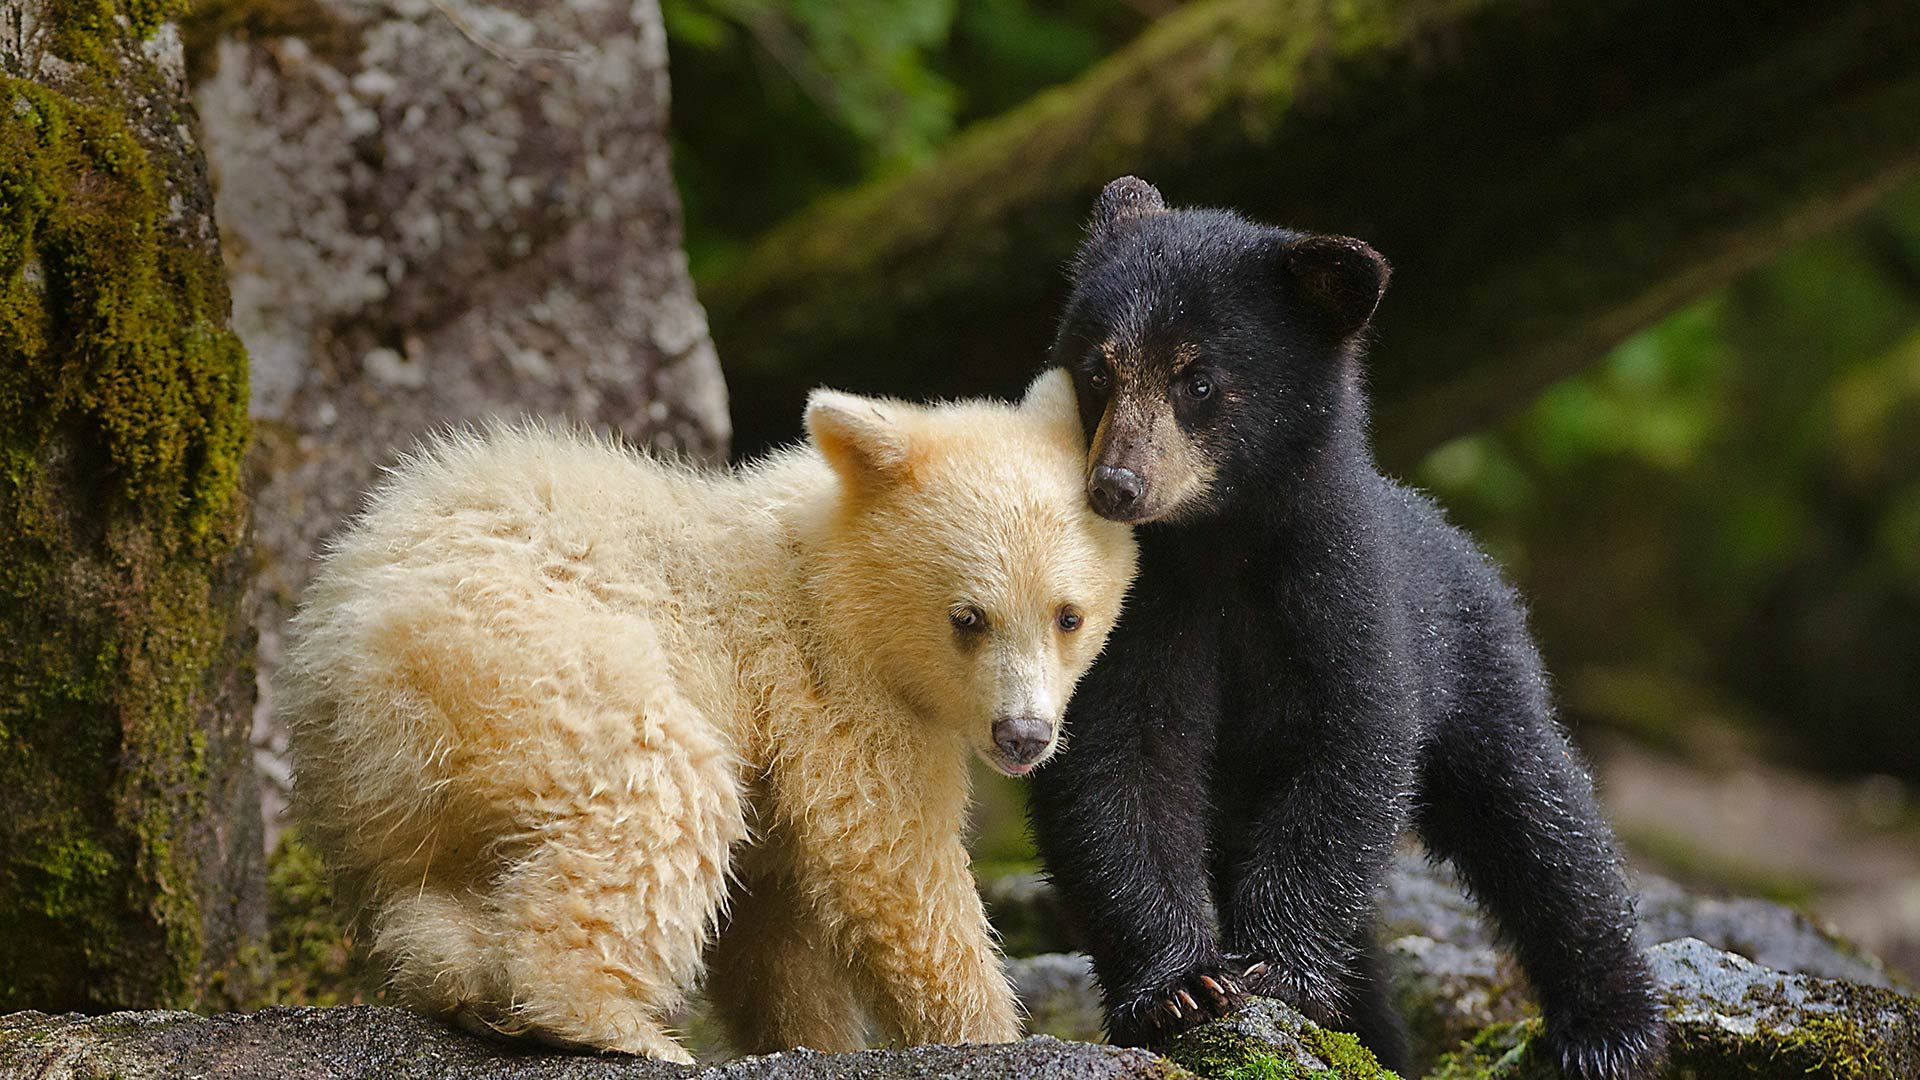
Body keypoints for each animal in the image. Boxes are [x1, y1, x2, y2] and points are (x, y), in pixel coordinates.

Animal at [281, 370, 1137, 1063]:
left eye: (1068, 615)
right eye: (968, 617)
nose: (1023, 736)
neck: (827, 572)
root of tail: (337, 662)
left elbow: (774, 931)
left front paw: (809, 1037)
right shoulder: (832, 689)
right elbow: (891, 862)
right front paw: (986, 1032)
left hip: (405, 792)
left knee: (428, 891)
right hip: (527, 663)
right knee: (659, 790)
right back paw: (611, 1023)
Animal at [1025, 178, 1667, 1080]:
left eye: (1198, 380)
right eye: (1096, 370)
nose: (1116, 485)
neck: (1216, 544)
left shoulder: (1343, 594)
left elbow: (1350, 745)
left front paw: (1275, 970)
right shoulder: (1129, 614)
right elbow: (1116, 764)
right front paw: (1179, 990)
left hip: (1480, 664)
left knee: (1540, 818)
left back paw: (1610, 1029)